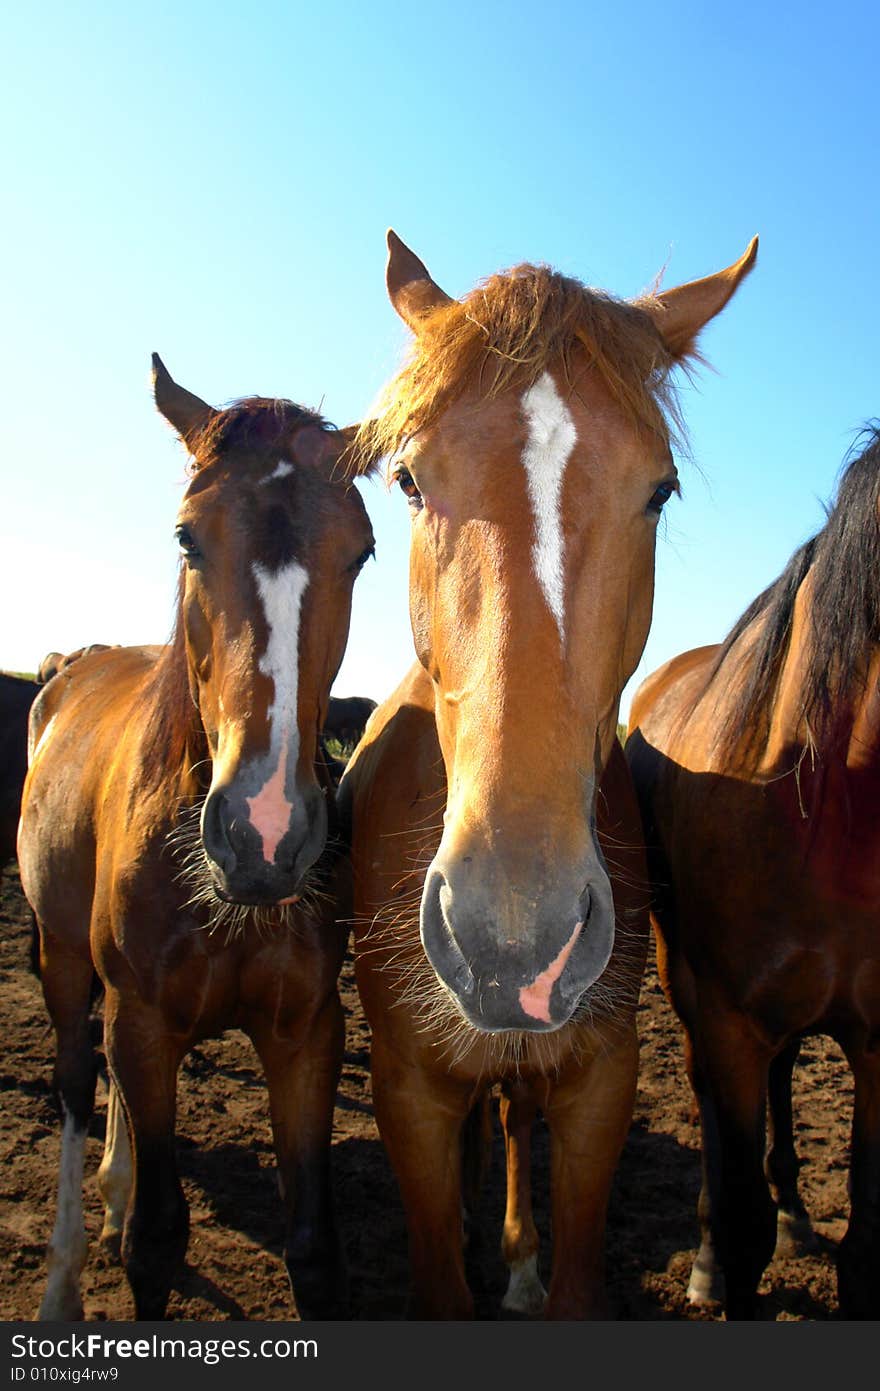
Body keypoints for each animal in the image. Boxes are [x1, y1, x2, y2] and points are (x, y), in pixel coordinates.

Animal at [17, 353, 375, 1318]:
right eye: (187, 538)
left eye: (363, 549)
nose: (264, 832)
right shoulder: (143, 1024)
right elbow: (156, 1240)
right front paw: (123, 1235)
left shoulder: (306, 1034)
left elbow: (315, 1249)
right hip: (62, 954)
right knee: (76, 1081)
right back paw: (65, 1272)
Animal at [336, 228, 756, 1313]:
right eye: (408, 479)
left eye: (659, 489)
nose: (511, 937)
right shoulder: (408, 1090)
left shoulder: (603, 1080)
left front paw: (533, 1267)